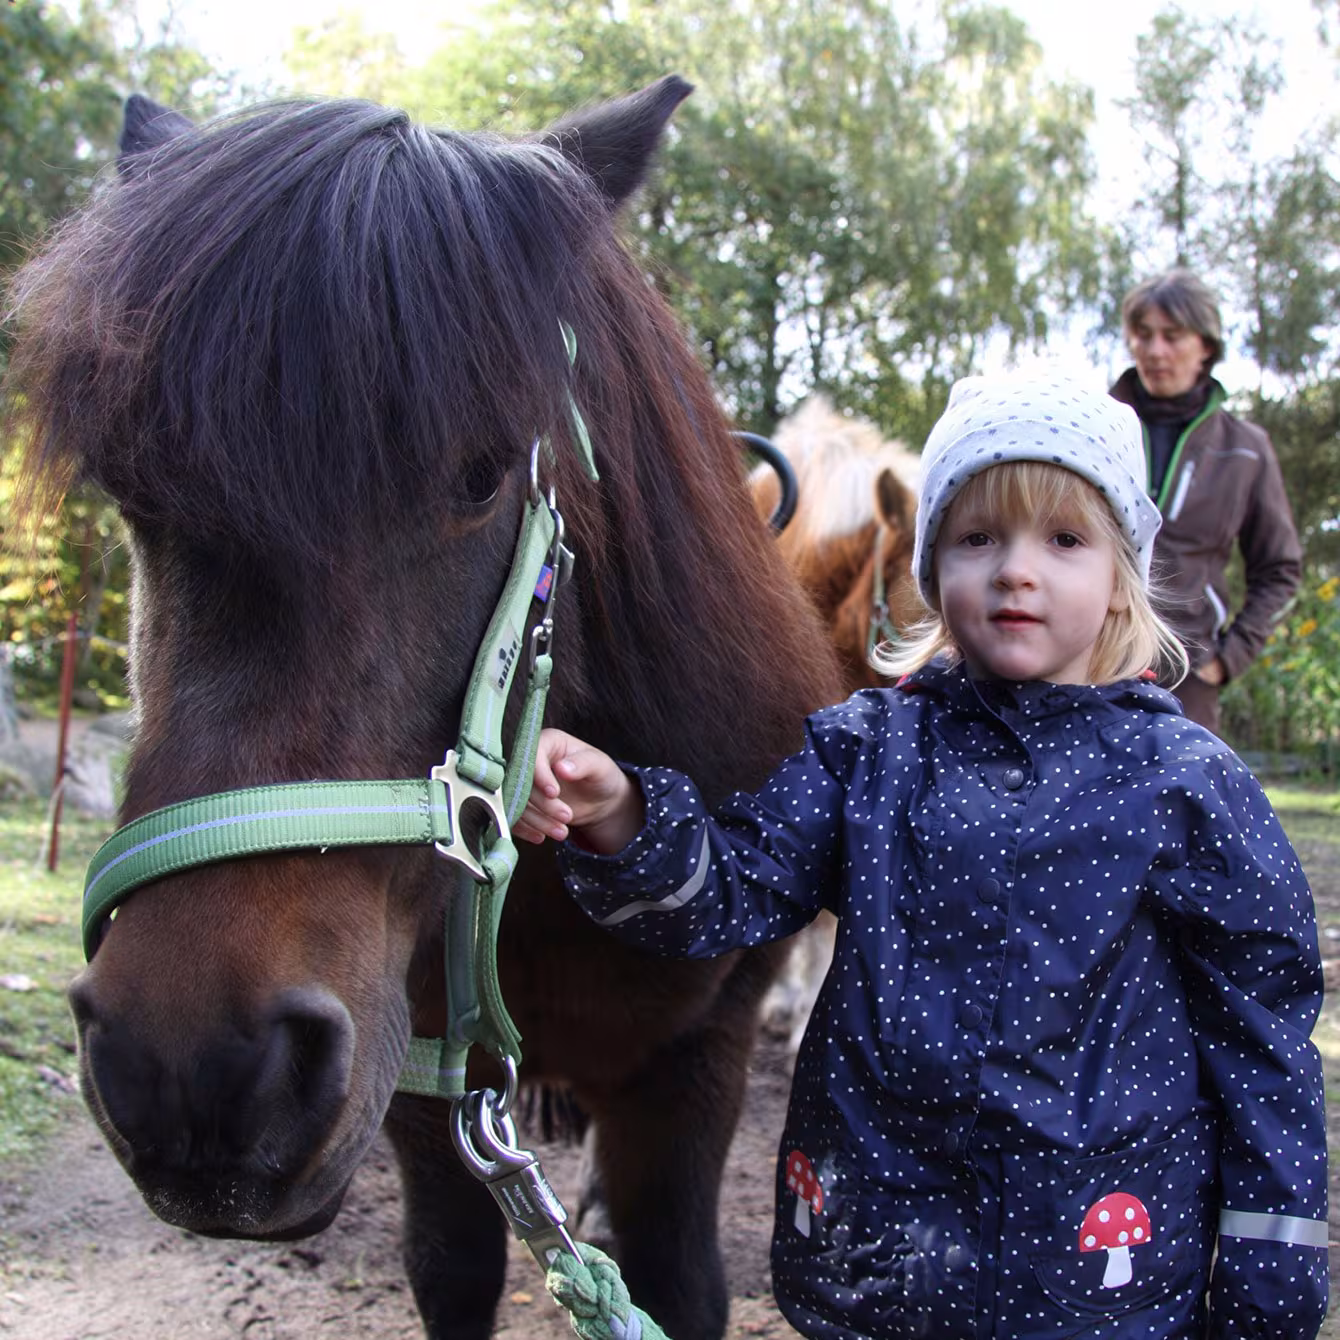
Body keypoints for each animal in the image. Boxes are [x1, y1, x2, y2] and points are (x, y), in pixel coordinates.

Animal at [3, 80, 843, 1340]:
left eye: (483, 472)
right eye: (128, 489)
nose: (195, 1068)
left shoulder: (698, 1053)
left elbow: (677, 1276)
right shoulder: (409, 1066)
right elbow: (451, 1262)